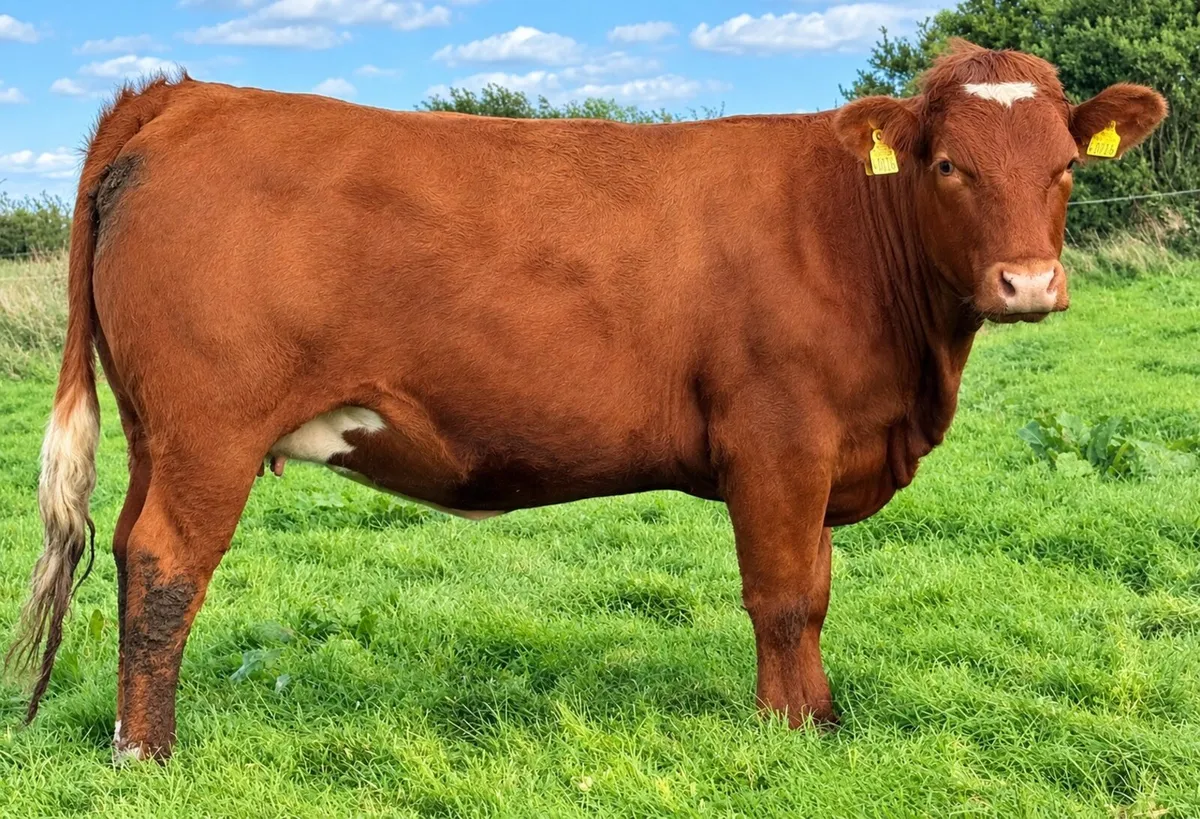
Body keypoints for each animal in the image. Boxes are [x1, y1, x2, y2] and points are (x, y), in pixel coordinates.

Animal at [7, 39, 1165, 762]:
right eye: (949, 163)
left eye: (1065, 166)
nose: (1028, 284)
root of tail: (192, 94)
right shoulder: (779, 442)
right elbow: (785, 595)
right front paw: (792, 732)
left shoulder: (824, 454)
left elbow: (819, 590)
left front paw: (822, 718)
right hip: (209, 429)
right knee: (166, 566)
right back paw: (147, 756)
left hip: (158, 431)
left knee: (128, 551)